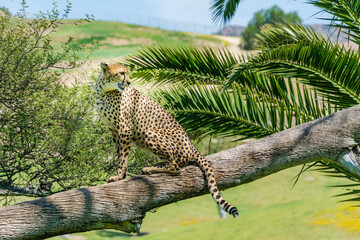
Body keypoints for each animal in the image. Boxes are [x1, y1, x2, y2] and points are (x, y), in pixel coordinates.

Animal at [94, 62, 238, 218]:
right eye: (121, 73)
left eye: (128, 73)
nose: (129, 82)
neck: (104, 90)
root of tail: (191, 146)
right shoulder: (114, 130)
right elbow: (120, 153)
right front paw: (122, 174)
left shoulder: (125, 128)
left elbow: (122, 155)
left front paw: (119, 176)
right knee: (172, 162)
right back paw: (156, 165)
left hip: (150, 133)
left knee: (176, 168)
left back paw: (151, 169)